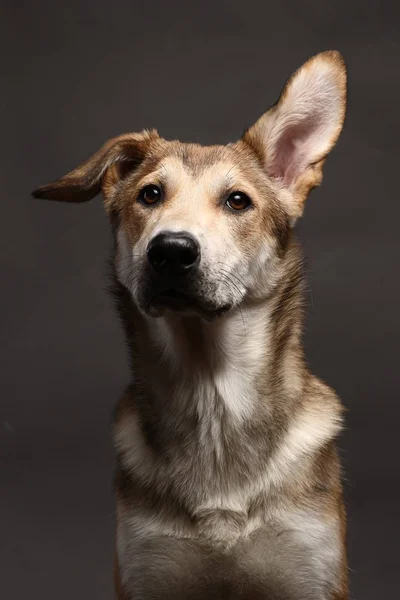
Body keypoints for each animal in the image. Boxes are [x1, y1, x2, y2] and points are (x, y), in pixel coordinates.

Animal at [33, 49, 346, 596]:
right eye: (150, 194)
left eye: (238, 200)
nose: (172, 251)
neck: (212, 401)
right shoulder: (146, 569)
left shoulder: (311, 572)